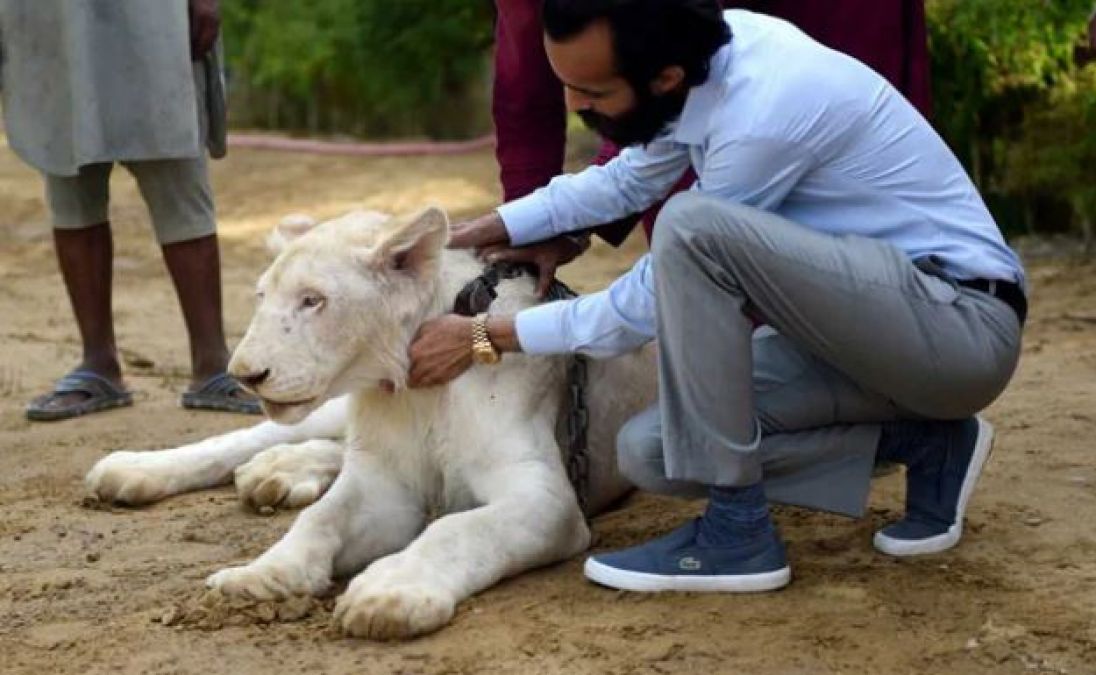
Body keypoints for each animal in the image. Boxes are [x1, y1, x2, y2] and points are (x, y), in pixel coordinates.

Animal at [89, 208, 653, 639]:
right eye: (262, 297)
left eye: (312, 300)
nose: (244, 374)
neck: (409, 389)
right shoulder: (384, 484)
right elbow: (319, 518)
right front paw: (262, 576)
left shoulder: (548, 500)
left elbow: (457, 528)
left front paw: (389, 595)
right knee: (258, 436)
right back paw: (135, 471)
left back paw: (276, 474)